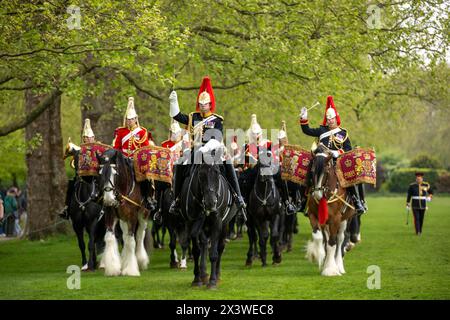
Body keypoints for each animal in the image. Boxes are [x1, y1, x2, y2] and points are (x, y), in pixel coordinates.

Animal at [179, 154, 237, 288]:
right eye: (200, 174)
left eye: (217, 172)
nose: (211, 203)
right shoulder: (192, 222)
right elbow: (197, 249)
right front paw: (197, 279)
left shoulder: (217, 222)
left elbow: (214, 253)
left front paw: (213, 281)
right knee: (204, 244)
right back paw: (203, 274)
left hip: (224, 225)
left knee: (220, 247)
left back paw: (217, 275)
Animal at [306, 144, 356, 276]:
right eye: (312, 171)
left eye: (326, 171)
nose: (317, 195)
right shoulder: (314, 216)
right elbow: (319, 237)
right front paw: (316, 255)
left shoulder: (335, 219)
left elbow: (332, 243)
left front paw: (330, 269)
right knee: (327, 238)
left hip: (345, 220)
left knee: (340, 239)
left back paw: (338, 265)